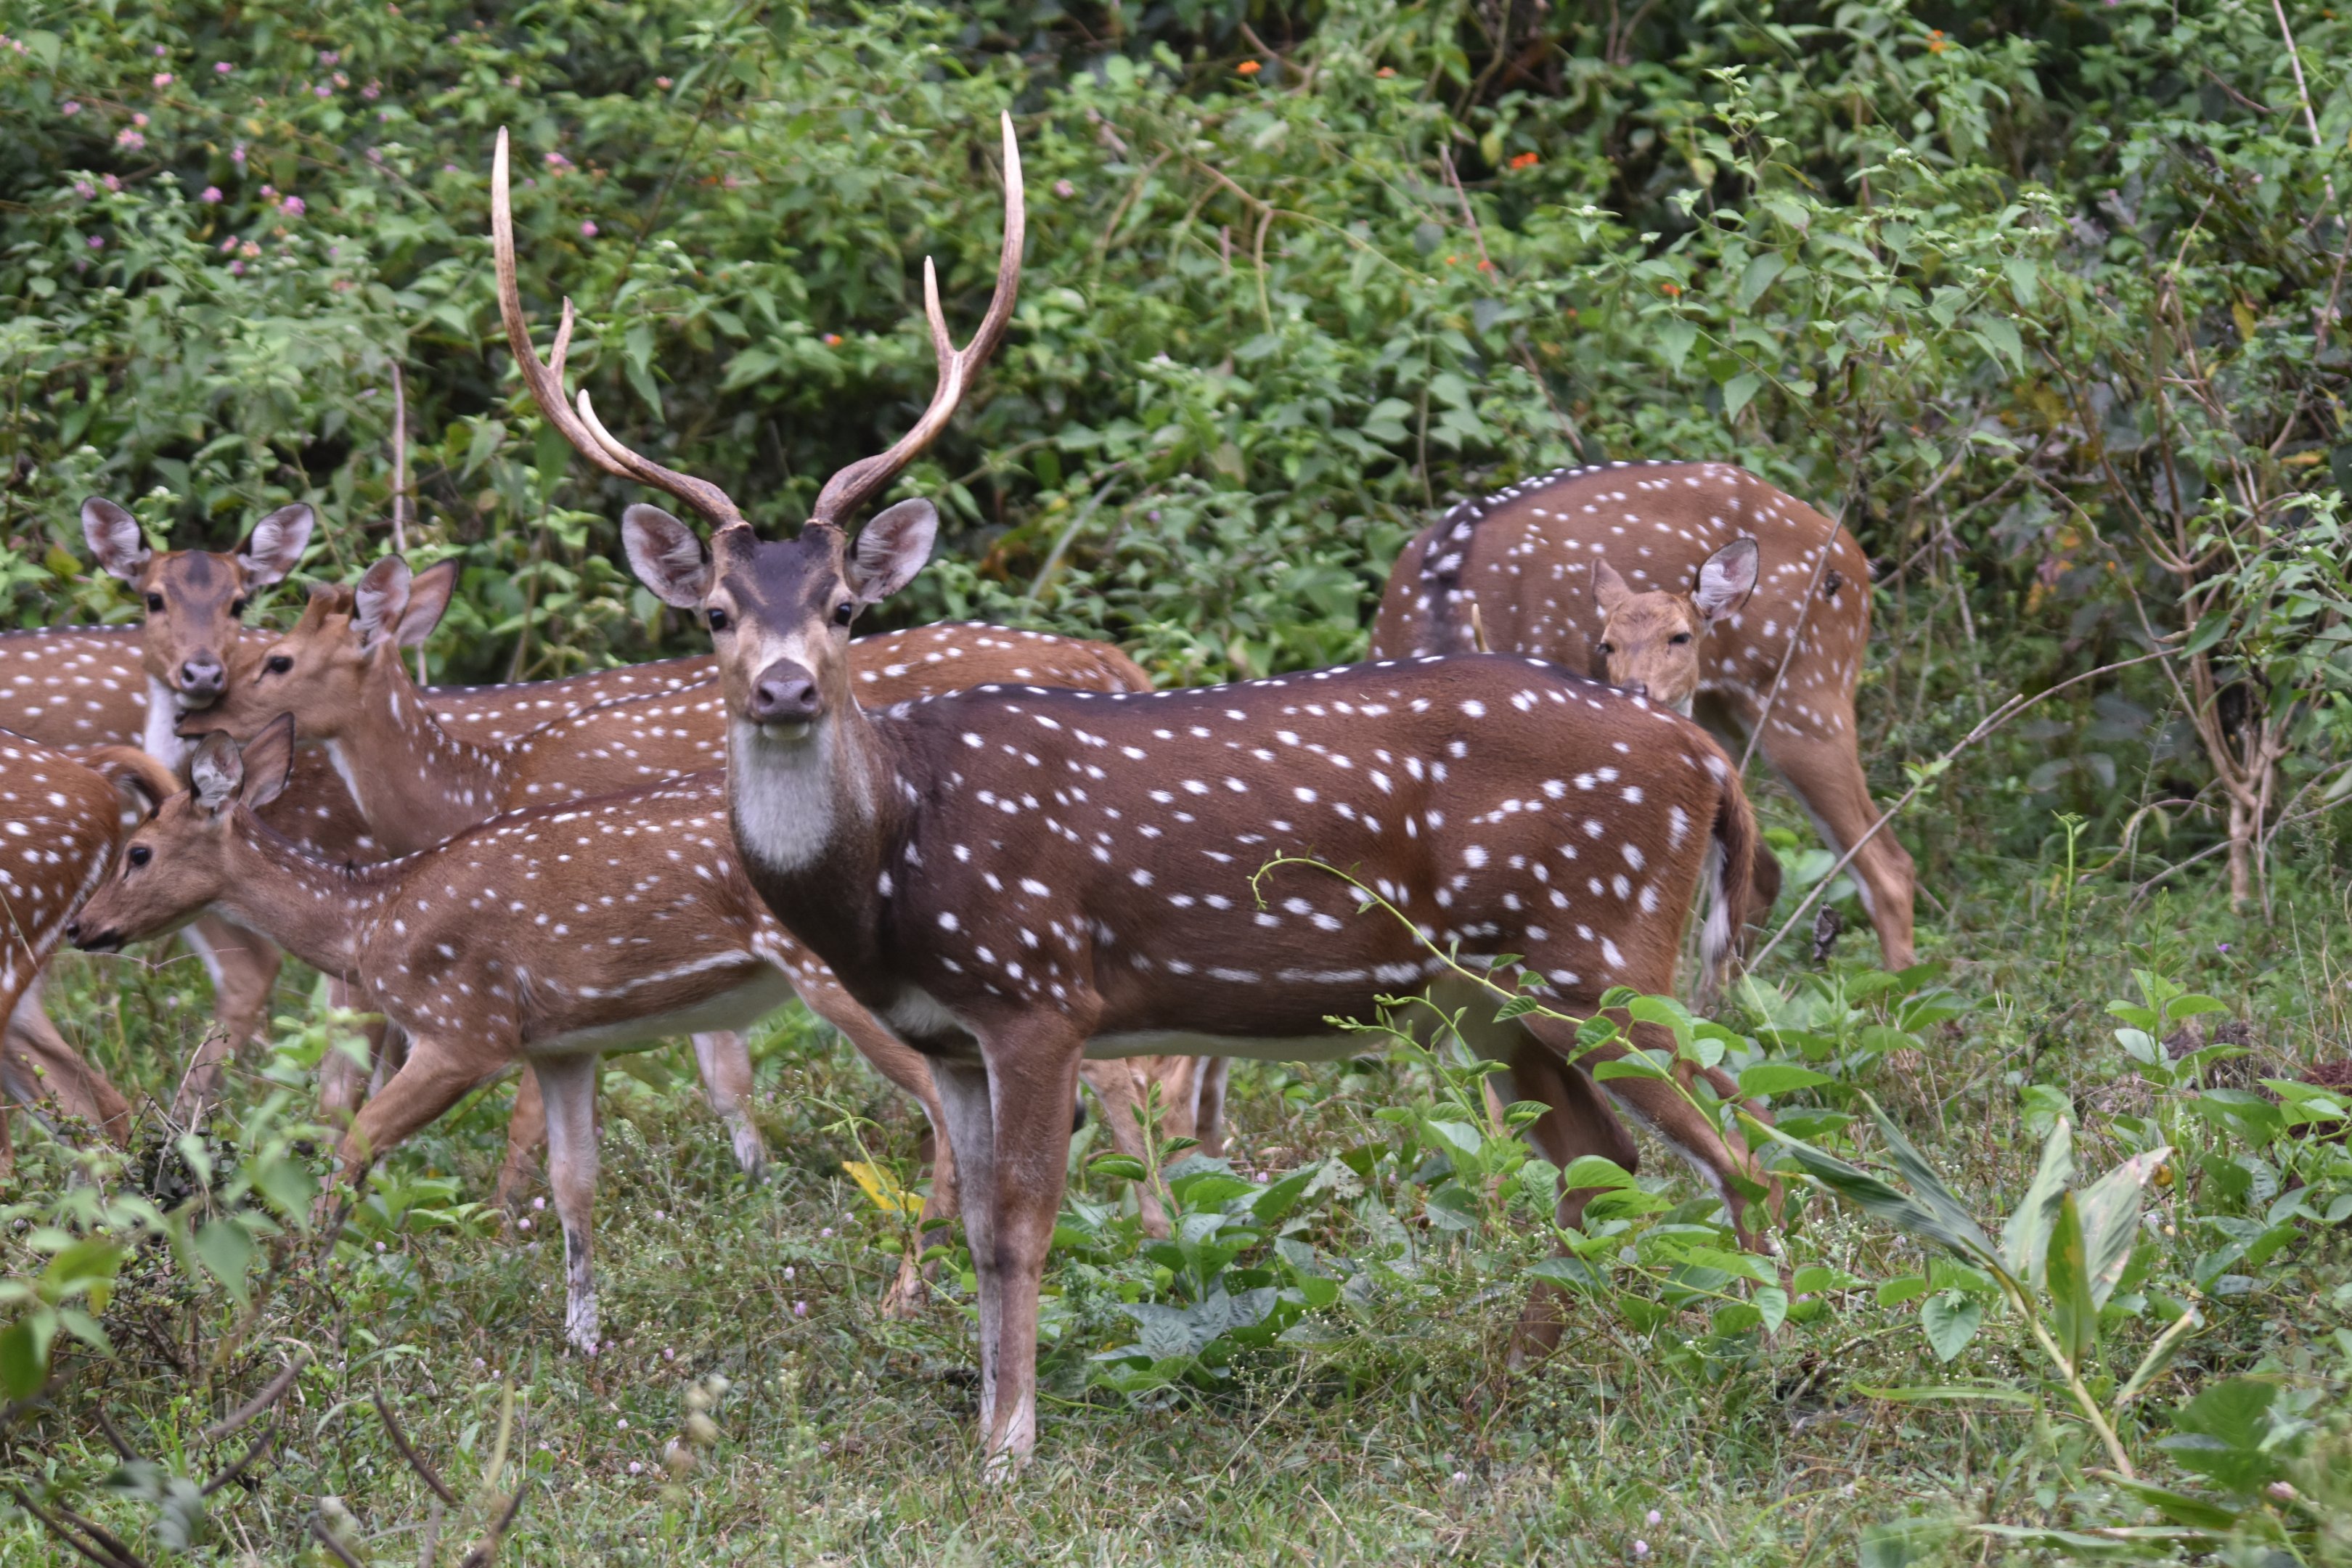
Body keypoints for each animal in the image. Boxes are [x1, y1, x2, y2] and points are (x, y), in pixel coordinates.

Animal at [492, 114, 1778, 1468]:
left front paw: (1009, 1447)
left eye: (844, 607)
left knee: (1742, 1140)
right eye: (716, 614)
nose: (785, 688)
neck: (894, 863)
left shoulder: (1039, 992)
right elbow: (973, 1225)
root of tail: (1703, 763)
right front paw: (987, 1420)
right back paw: (1515, 1380)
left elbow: (1024, 1222)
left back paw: (1765, 1353)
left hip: (1602, 945)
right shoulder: (947, 1030)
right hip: (1494, 996)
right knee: (1600, 1158)